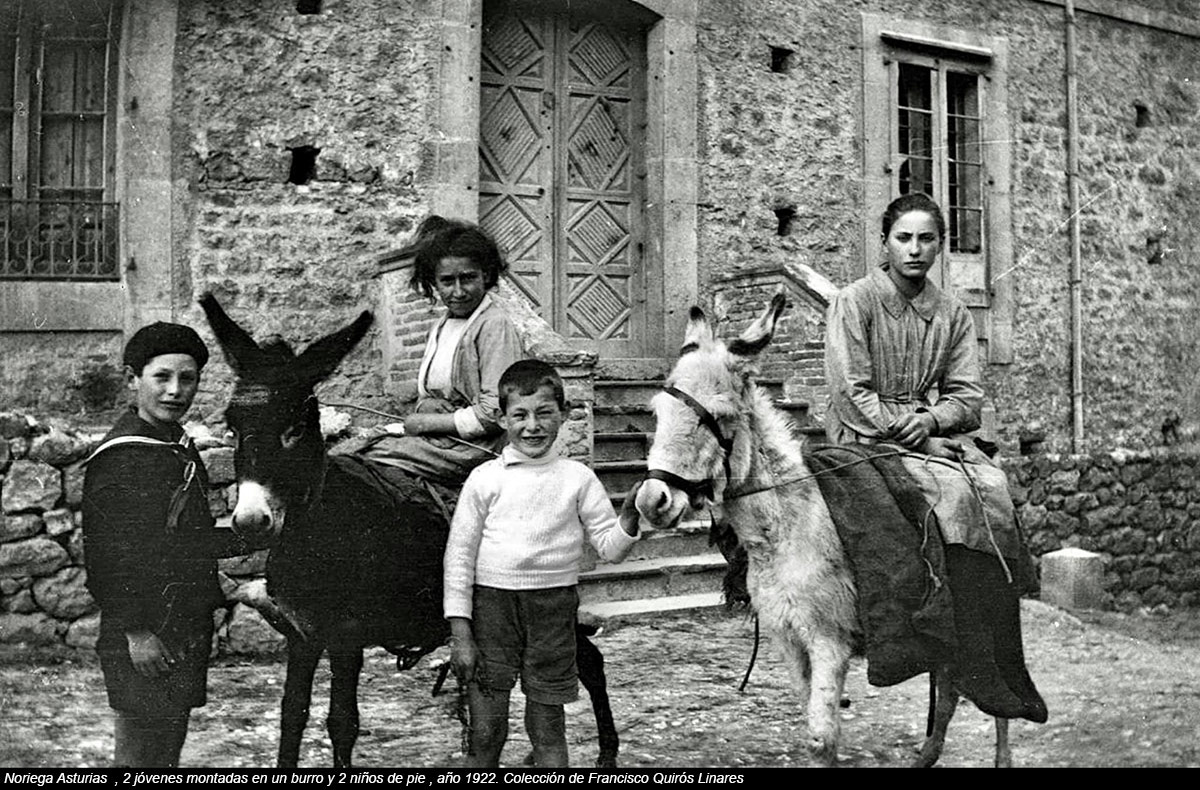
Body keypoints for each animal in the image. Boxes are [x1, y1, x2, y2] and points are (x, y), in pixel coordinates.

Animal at [199, 293, 620, 768]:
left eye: (295, 429)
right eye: (232, 427)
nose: (251, 521)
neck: (319, 534)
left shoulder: (346, 638)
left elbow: (342, 723)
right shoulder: (301, 636)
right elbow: (293, 716)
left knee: (588, 662)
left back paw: (606, 752)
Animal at [632, 292, 1013, 767]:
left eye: (714, 417)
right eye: (657, 411)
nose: (652, 502)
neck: (784, 530)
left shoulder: (829, 640)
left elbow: (821, 738)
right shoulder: (787, 639)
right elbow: (810, 719)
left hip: (990, 608)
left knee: (996, 693)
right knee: (948, 684)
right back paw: (926, 754)